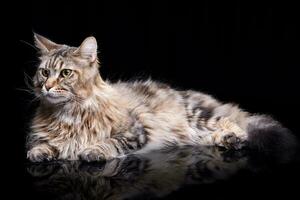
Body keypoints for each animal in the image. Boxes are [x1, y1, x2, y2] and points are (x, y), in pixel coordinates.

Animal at [26, 33, 298, 162]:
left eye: (65, 73)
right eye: (44, 72)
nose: (47, 87)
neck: (68, 114)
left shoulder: (136, 130)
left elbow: (110, 142)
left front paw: (92, 150)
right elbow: (42, 144)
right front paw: (40, 152)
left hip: (200, 115)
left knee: (237, 124)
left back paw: (234, 137)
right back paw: (226, 140)